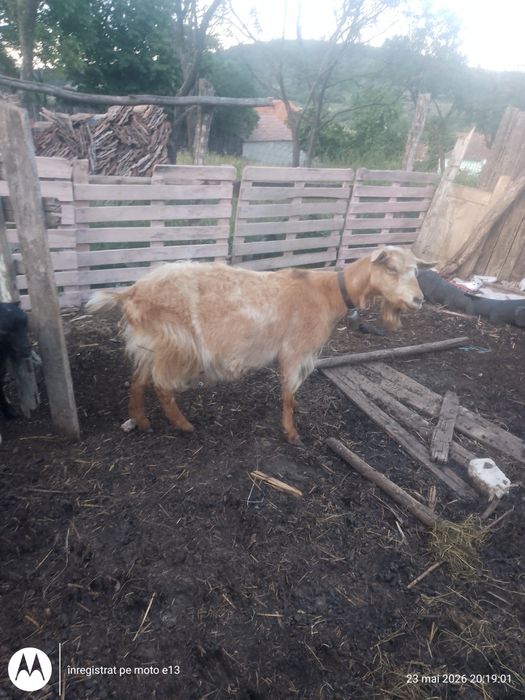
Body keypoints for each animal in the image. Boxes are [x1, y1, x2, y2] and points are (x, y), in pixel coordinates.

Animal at [87, 246, 433, 444]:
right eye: (391, 269)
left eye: (417, 271)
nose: (419, 300)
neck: (328, 293)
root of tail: (131, 292)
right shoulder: (294, 351)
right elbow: (288, 394)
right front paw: (292, 433)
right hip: (178, 342)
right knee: (161, 385)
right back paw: (183, 426)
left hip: (152, 342)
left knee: (137, 381)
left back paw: (142, 422)